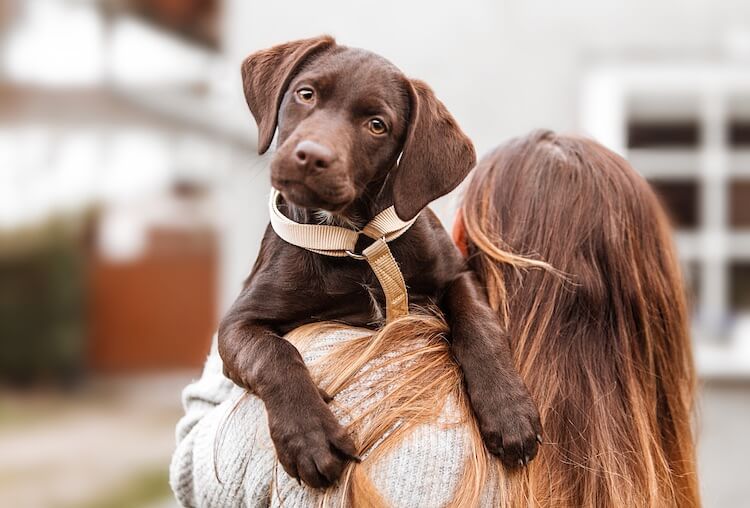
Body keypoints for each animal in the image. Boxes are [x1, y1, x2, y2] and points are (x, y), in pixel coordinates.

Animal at [217, 35, 540, 488]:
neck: (355, 238)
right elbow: (275, 354)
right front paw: (309, 437)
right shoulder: (239, 320)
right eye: (305, 94)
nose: (311, 156)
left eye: (376, 125)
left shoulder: (456, 273)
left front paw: (508, 408)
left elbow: (478, 323)